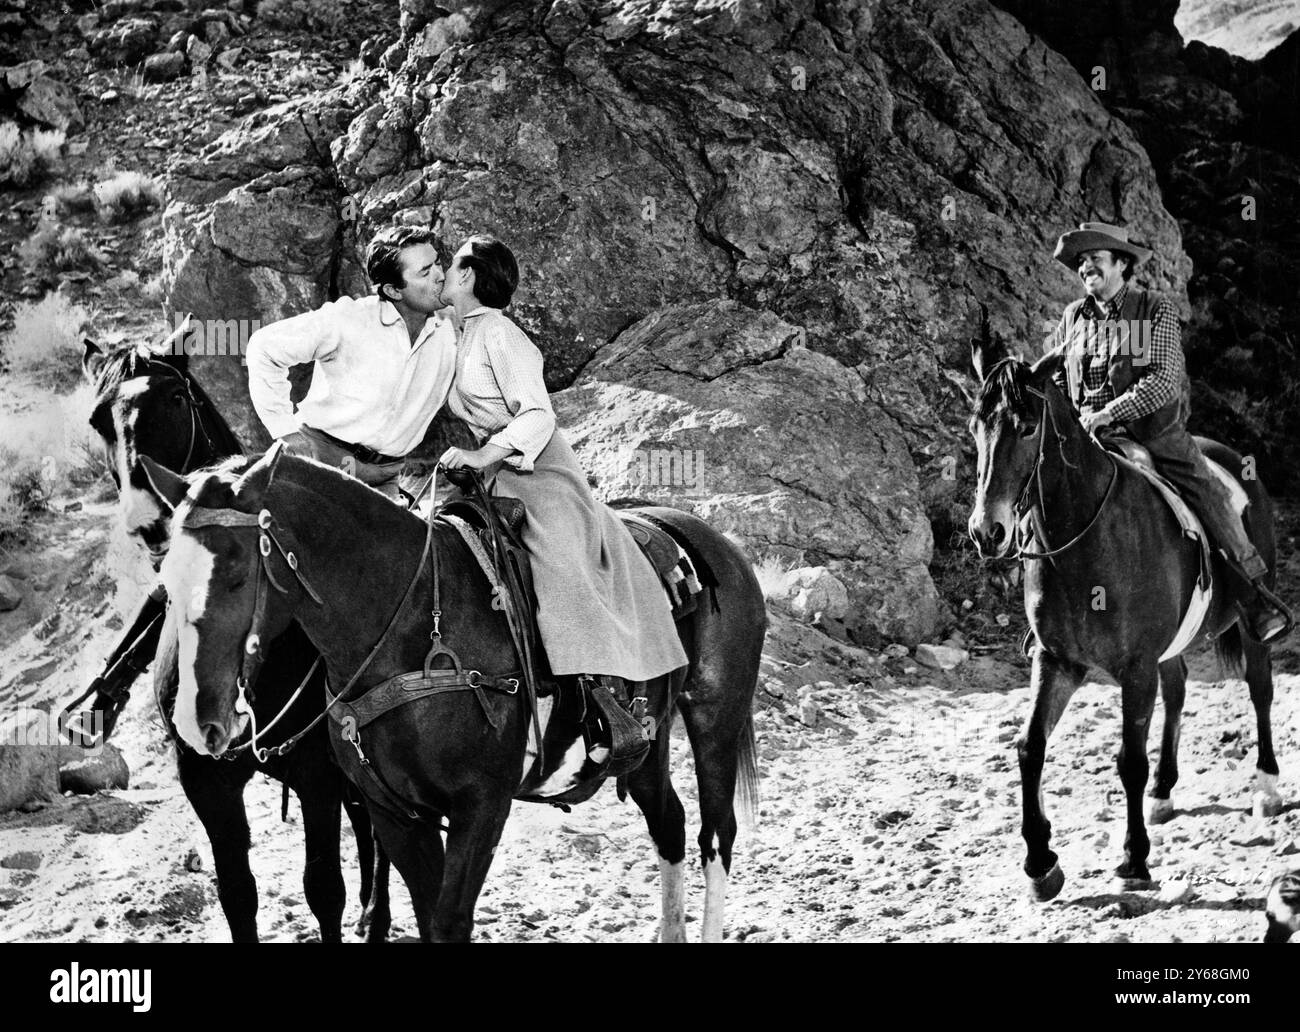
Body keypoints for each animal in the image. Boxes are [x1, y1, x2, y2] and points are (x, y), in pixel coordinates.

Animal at [77, 337, 384, 941]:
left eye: (175, 397)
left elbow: (323, 887)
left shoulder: (315, 769)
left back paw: (374, 913)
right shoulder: (205, 778)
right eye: (99, 418)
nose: (149, 523)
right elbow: (238, 893)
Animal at [141, 449, 759, 941]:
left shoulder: (480, 807)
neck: (410, 626)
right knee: (670, 822)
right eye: (165, 580)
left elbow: (446, 920)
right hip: (648, 744)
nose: (196, 719)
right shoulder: (395, 813)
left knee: (716, 833)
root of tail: (711, 542)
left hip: (715, 718)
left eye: (238, 575)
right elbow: (423, 911)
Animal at [967, 340, 1279, 899]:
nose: (988, 531)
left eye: (1027, 426)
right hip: (1170, 650)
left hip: (1249, 625)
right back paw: (1163, 792)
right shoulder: (1058, 662)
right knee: (1177, 691)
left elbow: (1129, 760)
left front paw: (1134, 859)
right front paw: (1040, 863)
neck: (1087, 537)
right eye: (974, 426)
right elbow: (1030, 747)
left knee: (1260, 688)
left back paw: (1266, 787)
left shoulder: (1134, 669)